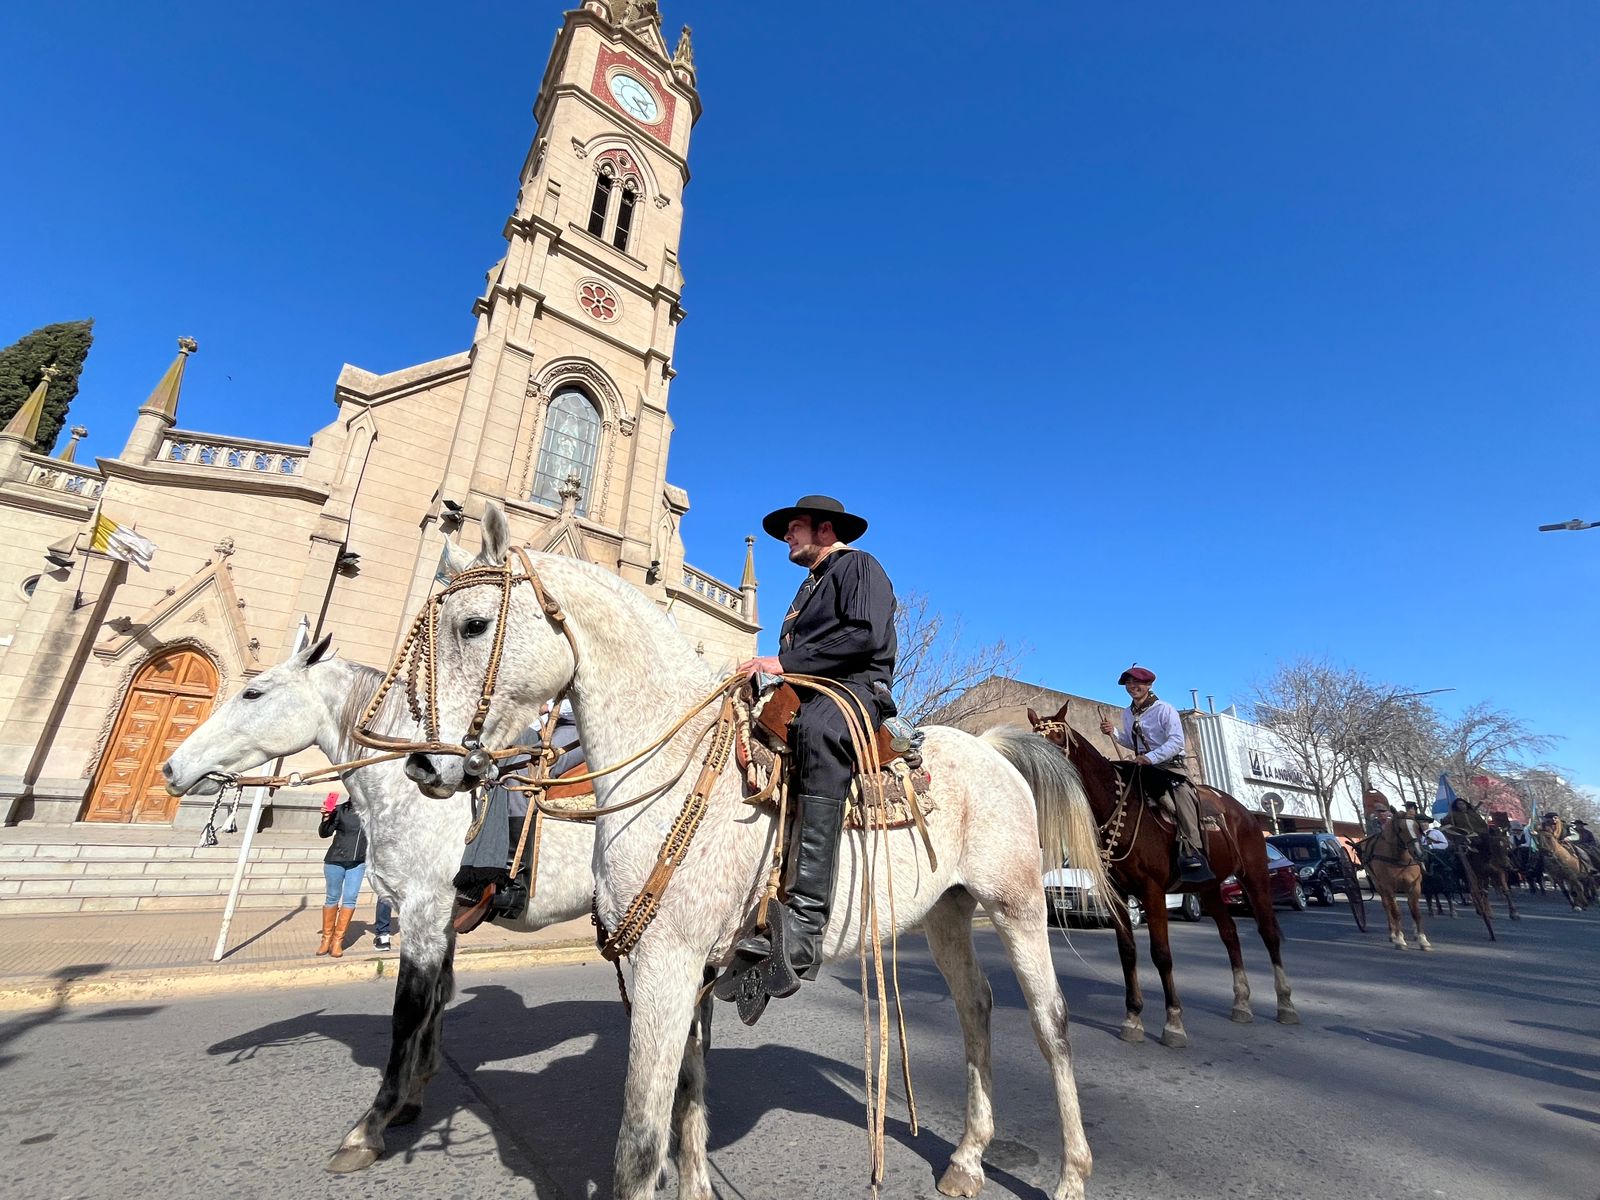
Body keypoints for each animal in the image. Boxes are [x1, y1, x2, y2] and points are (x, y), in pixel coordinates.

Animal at [160, 640, 604, 1177]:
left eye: (253, 692)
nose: (171, 769)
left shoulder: (421, 912)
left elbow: (407, 1011)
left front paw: (369, 1127)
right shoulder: (438, 921)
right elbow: (437, 1000)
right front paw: (412, 1099)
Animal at [403, 508, 1113, 1200]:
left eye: (473, 625)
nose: (422, 764)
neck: (669, 764)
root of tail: (990, 748)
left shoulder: (667, 962)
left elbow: (639, 1143)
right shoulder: (684, 970)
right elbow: (688, 1097)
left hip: (1018, 903)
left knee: (1050, 1021)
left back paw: (1073, 1173)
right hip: (948, 911)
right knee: (976, 1007)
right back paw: (967, 1159)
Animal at [1024, 704, 1299, 1049]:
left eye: (1058, 738)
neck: (1119, 810)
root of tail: (1242, 812)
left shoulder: (1151, 891)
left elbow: (1161, 954)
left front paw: (1173, 1023)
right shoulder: (1117, 895)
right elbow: (1127, 952)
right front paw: (1132, 1017)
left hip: (1255, 876)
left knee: (1268, 932)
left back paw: (1285, 1004)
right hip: (1208, 887)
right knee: (1230, 934)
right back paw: (1241, 1003)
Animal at [1356, 812, 1433, 953]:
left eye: (1417, 827)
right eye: (1400, 829)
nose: (1419, 853)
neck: (1400, 859)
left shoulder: (1415, 886)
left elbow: (1416, 912)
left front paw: (1422, 940)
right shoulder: (1388, 887)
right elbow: (1396, 912)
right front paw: (1400, 939)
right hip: (1379, 885)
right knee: (1388, 907)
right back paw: (1393, 933)